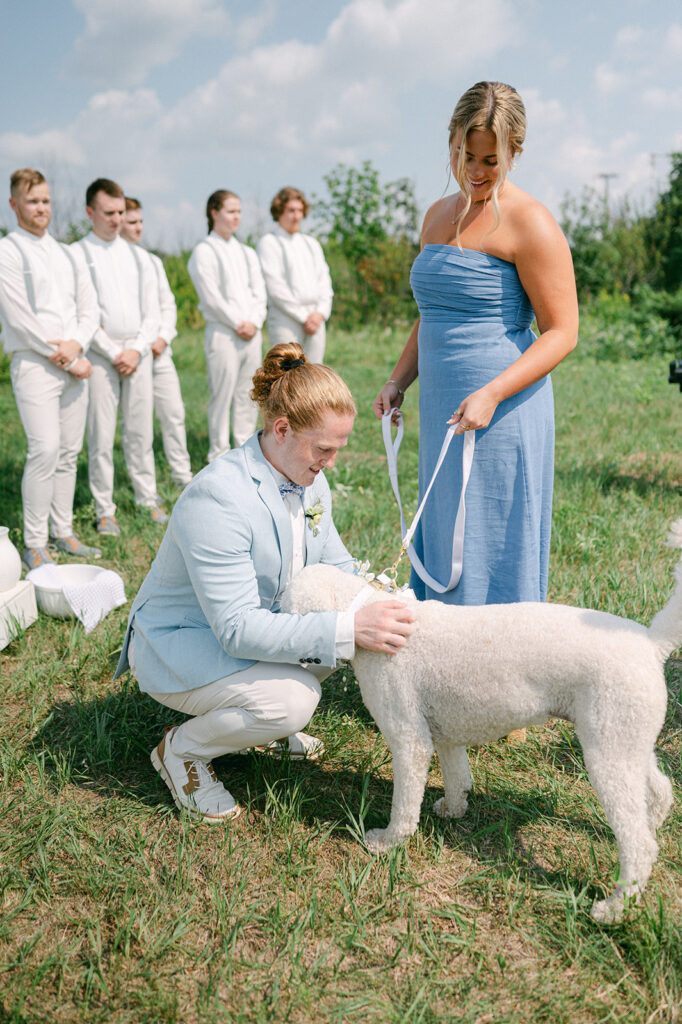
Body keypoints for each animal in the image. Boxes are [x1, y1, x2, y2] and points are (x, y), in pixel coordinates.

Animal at [278, 528, 675, 929]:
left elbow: (405, 805)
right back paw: (651, 830)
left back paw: (615, 907)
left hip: (608, 748)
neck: (369, 615)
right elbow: (457, 777)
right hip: (625, 738)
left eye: (290, 613)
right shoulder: (444, 733)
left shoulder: (408, 737)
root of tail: (653, 644)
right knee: (659, 794)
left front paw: (388, 841)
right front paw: (453, 810)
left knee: (639, 846)